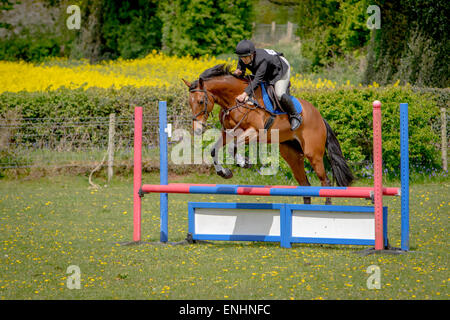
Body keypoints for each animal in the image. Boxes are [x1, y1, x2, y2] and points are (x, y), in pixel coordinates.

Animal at [181, 64, 354, 205]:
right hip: (292, 155)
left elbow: (233, 147)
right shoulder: (228, 133)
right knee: (305, 185)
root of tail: (319, 117)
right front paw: (224, 172)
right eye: (189, 103)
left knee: (325, 182)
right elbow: (214, 150)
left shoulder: (254, 131)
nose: (197, 129)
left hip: (313, 154)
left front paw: (244, 162)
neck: (235, 100)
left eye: (201, 102)